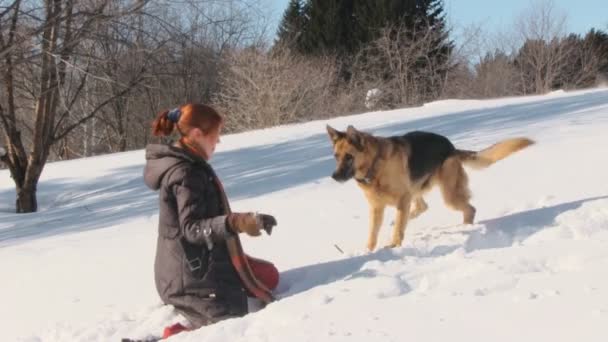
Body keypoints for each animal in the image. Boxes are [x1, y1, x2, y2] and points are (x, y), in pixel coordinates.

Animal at [326, 125, 536, 251]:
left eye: (349, 157)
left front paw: (394, 245)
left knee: (470, 209)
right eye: (336, 156)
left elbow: (399, 228)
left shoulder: (402, 198)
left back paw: (466, 228)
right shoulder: (377, 208)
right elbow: (373, 233)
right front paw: (369, 252)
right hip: (418, 191)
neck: (375, 164)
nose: (334, 176)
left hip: (449, 196)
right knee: (422, 207)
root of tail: (451, 147)